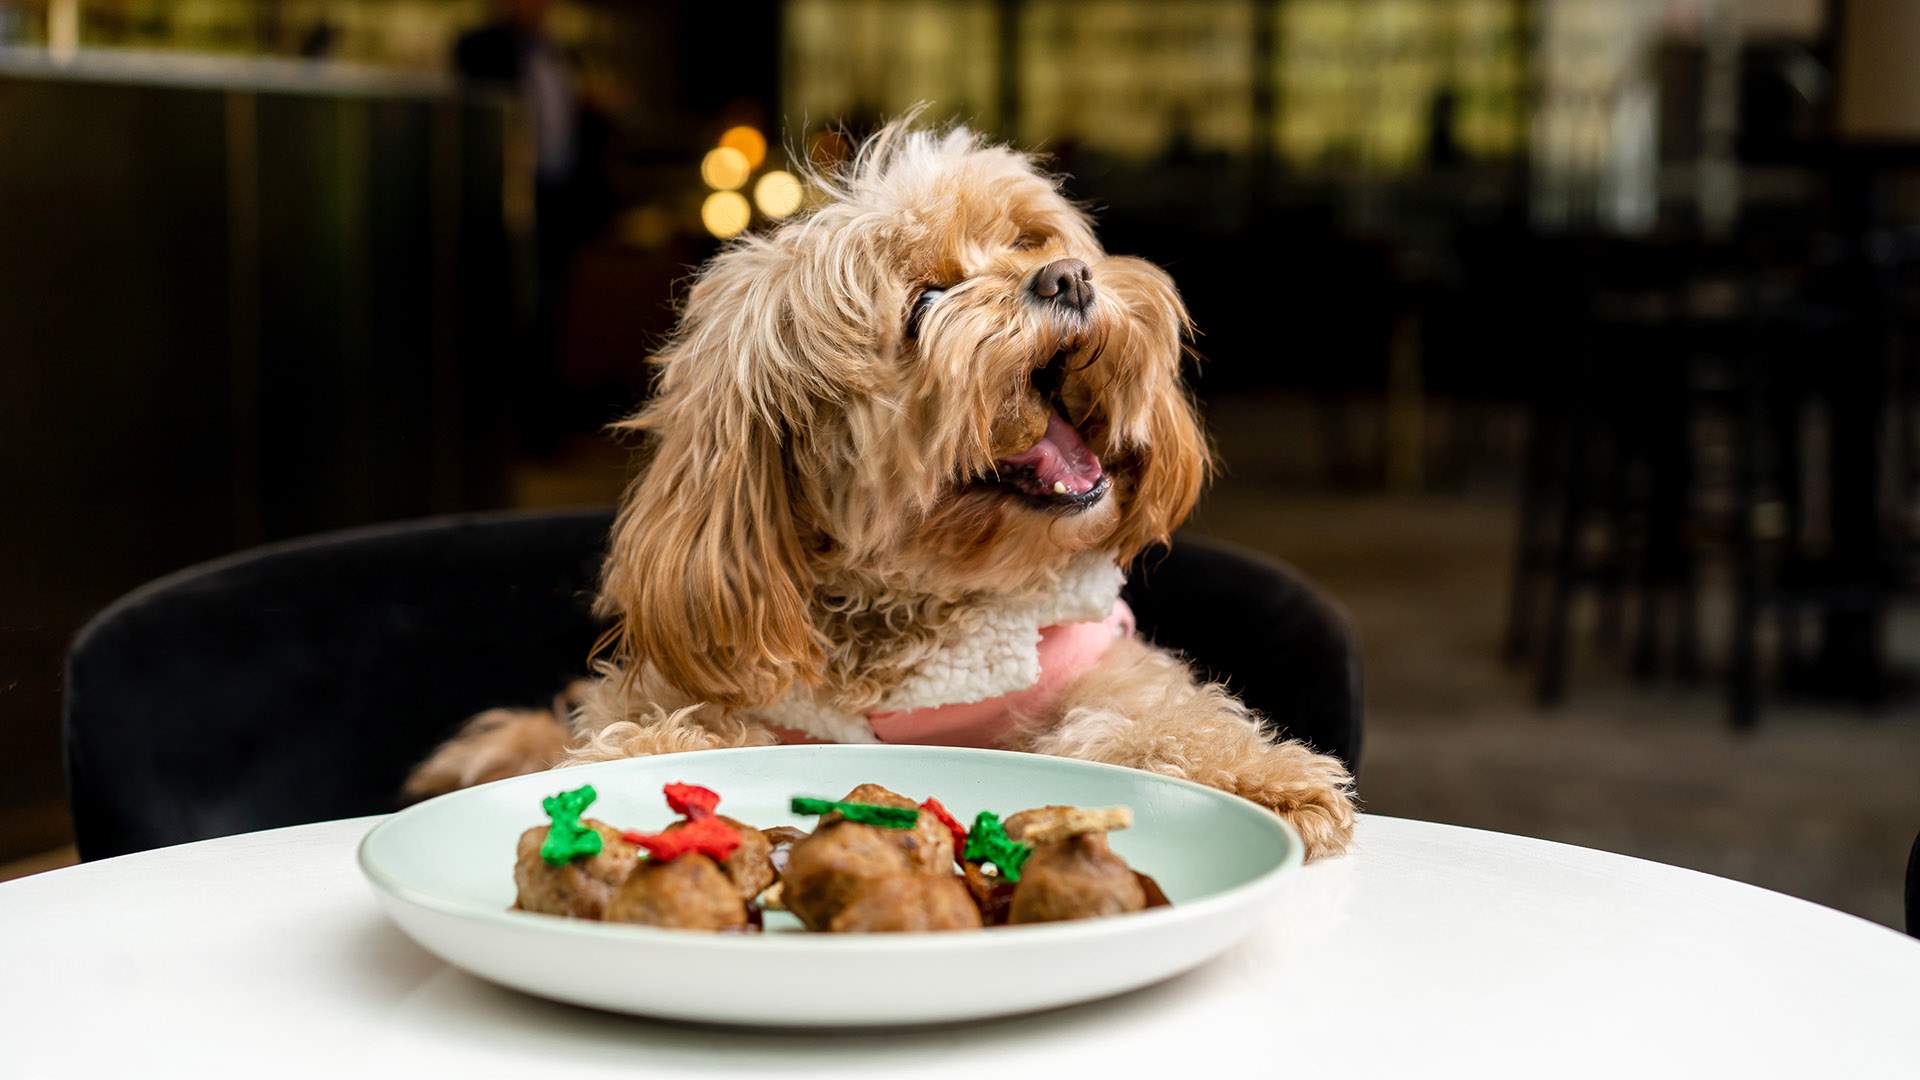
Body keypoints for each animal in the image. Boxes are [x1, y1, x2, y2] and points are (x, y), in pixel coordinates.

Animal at [412, 117, 1359, 857]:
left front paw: (1260, 782)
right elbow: (647, 729)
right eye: (924, 303)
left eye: (1031, 242)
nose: (1069, 278)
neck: (919, 615)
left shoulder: (1096, 668)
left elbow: (1167, 718)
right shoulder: (702, 689)